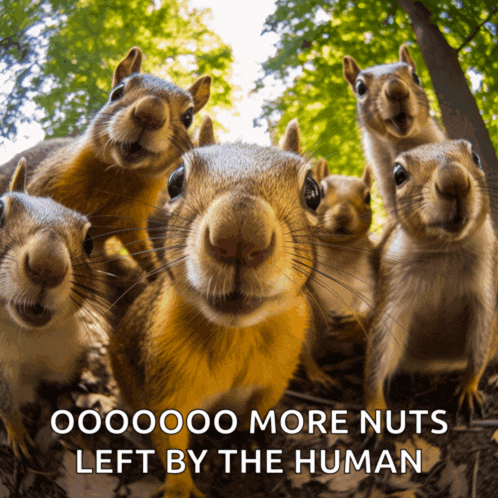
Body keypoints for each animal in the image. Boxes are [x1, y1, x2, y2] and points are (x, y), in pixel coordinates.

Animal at [0, 158, 107, 462]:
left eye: (89, 242)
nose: (47, 267)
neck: (29, 336)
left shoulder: (68, 356)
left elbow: (64, 383)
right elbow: (6, 405)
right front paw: (18, 434)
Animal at [8, 46, 210, 280]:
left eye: (188, 117)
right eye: (117, 92)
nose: (149, 114)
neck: (117, 176)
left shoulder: (131, 219)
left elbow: (143, 252)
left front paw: (161, 275)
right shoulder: (45, 184)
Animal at [110, 120, 322, 498]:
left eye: (313, 192)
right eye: (174, 180)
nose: (239, 236)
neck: (236, 337)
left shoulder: (276, 376)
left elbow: (258, 412)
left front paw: (248, 441)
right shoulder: (166, 380)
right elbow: (168, 437)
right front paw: (180, 488)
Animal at [364, 139, 496, 428]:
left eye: (476, 156)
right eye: (398, 175)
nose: (454, 181)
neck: (444, 250)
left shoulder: (485, 286)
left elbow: (480, 342)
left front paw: (469, 389)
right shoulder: (393, 293)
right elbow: (380, 347)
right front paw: (374, 406)